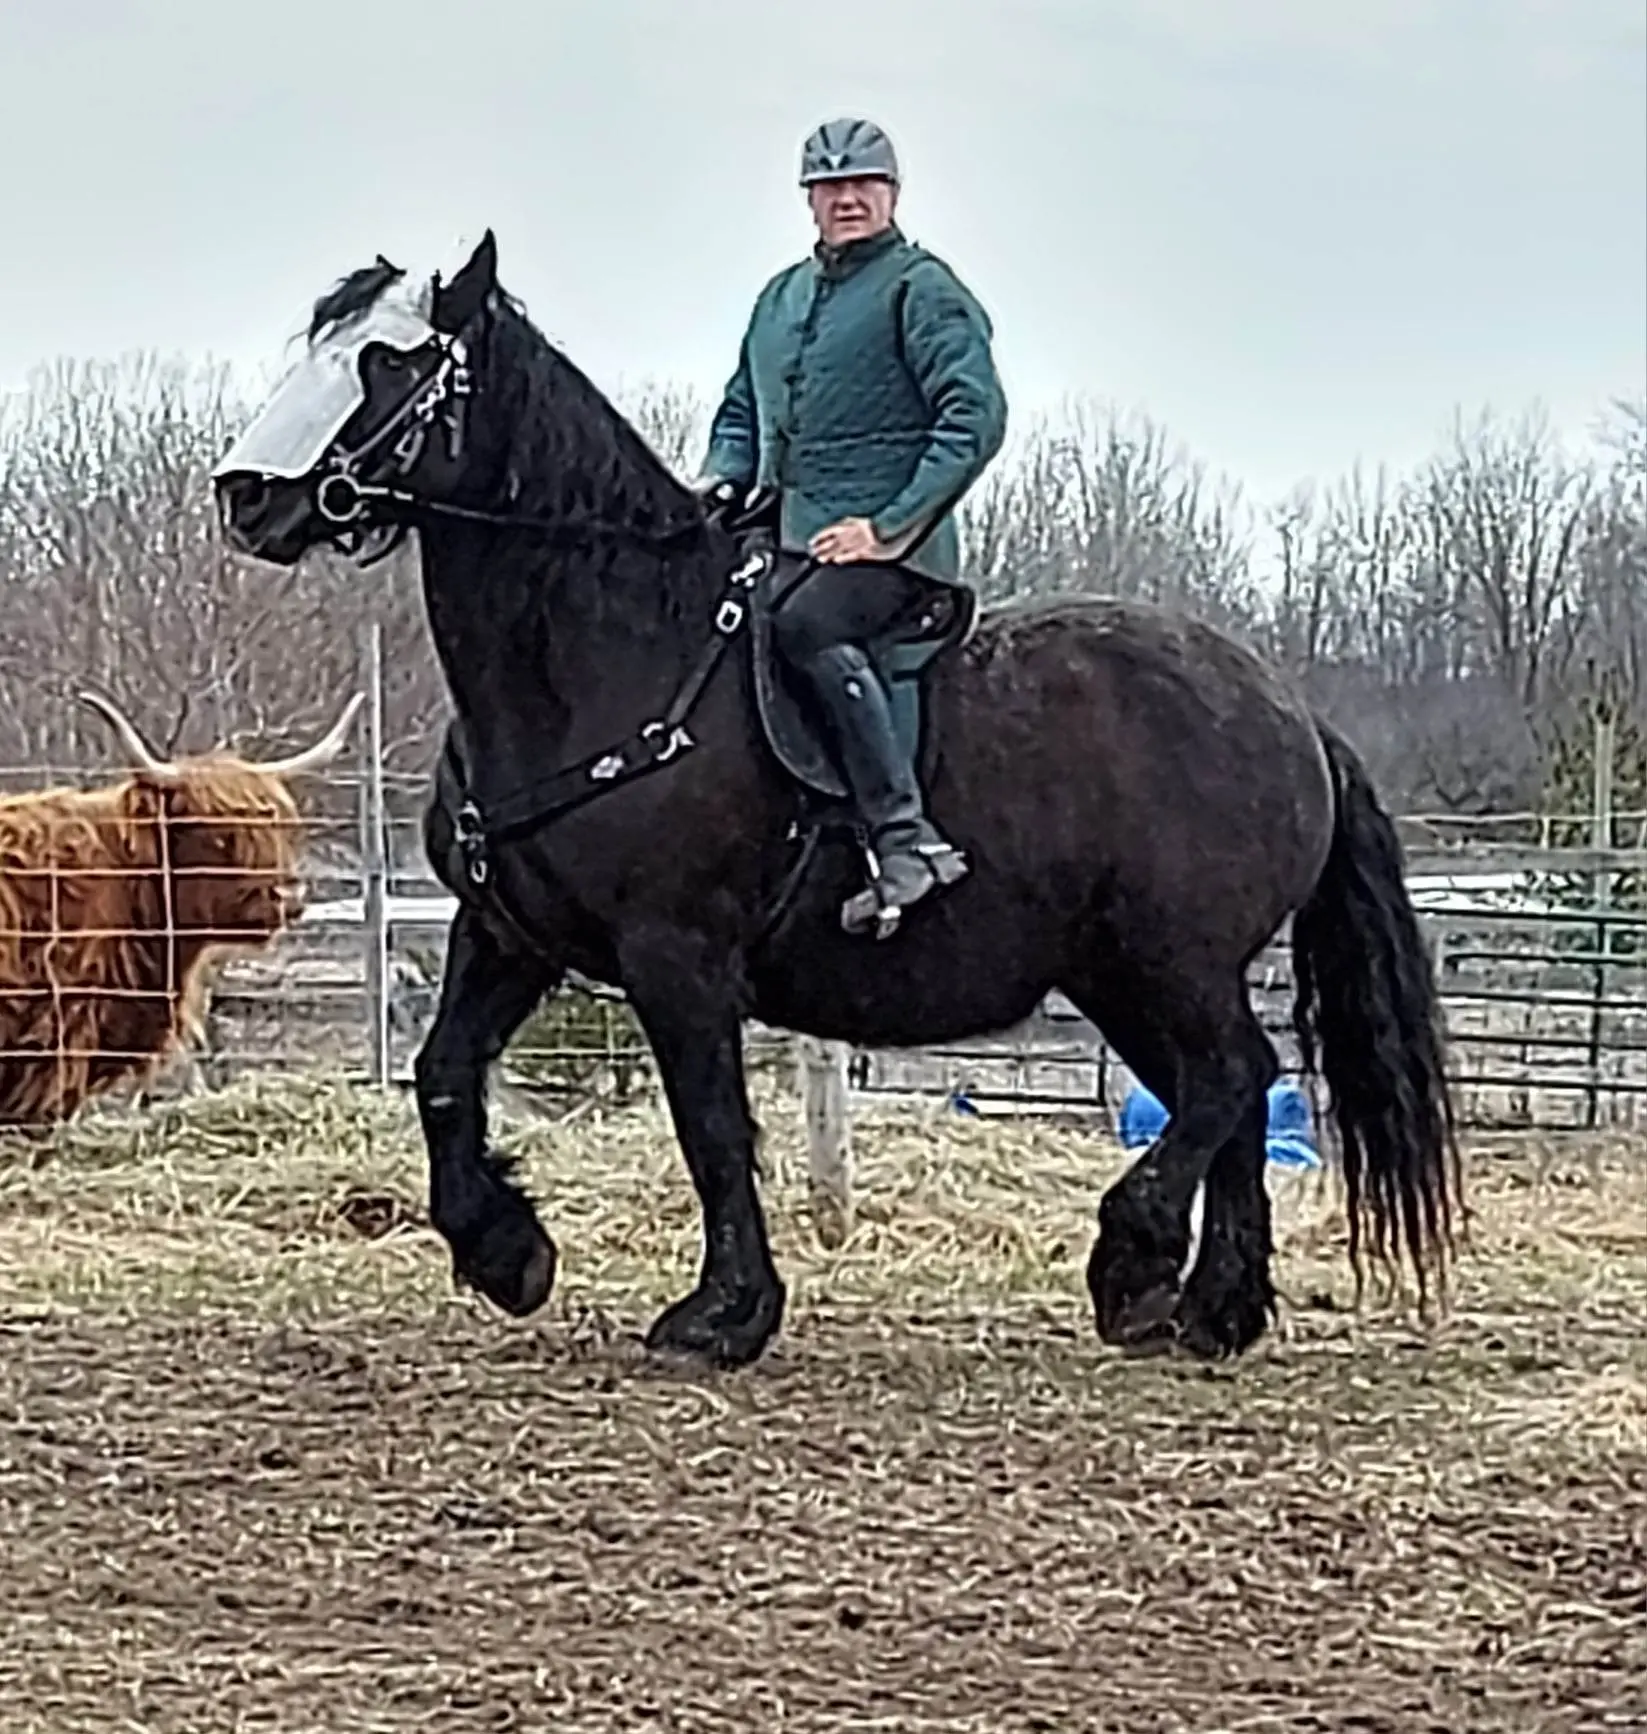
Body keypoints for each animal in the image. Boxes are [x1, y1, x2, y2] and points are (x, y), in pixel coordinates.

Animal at [212, 234, 1463, 1366]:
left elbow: (713, 1127)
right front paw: (506, 1251)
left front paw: (725, 1313)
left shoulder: (678, 956)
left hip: (1174, 963)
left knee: (1233, 1080)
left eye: (391, 361)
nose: (246, 495)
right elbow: (441, 1077)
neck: (618, 650)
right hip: (1127, 977)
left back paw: (1136, 1259)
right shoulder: (507, 933)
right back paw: (1212, 1309)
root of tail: (1287, 710)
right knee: (1232, 1097)